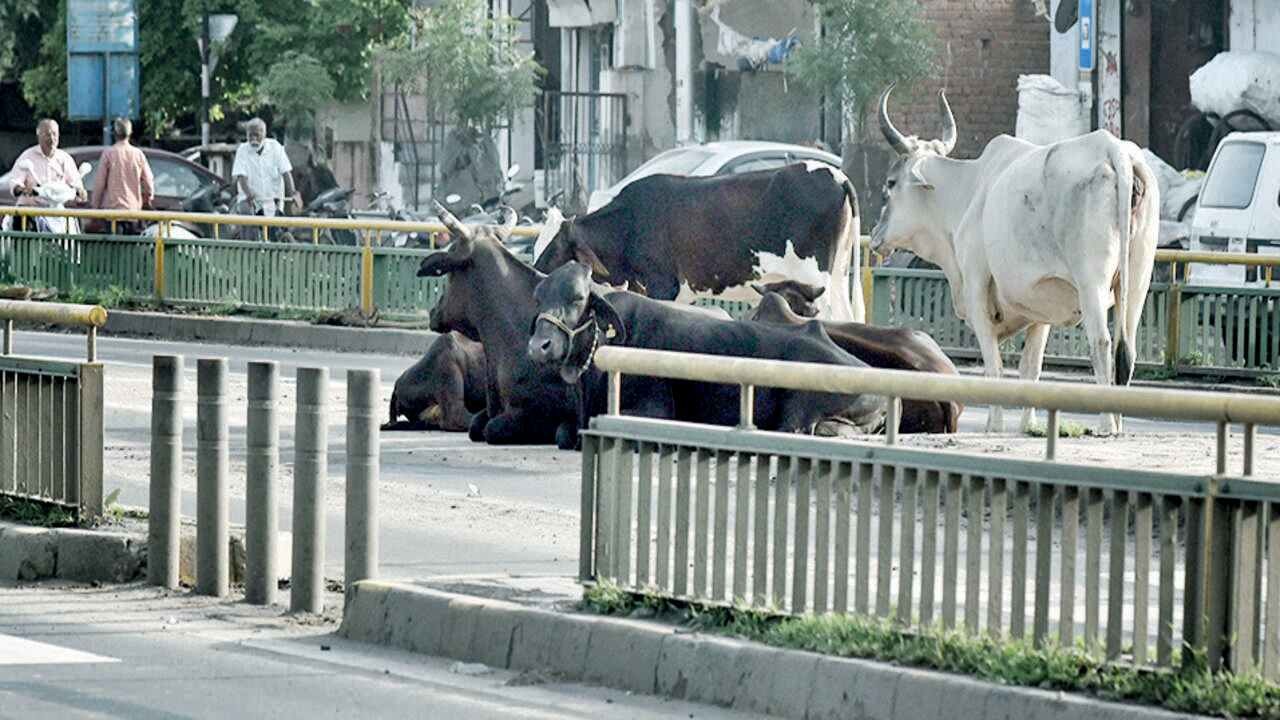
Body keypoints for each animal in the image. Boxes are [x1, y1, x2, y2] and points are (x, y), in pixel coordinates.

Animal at [526, 261, 886, 450]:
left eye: (577, 298)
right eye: (538, 297)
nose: (539, 346)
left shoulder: (656, 408)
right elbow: (562, 433)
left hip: (799, 410)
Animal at [531, 162, 865, 322]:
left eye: (556, 248)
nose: (536, 276)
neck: (631, 221)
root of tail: (835, 174)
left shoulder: (663, 284)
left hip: (815, 280)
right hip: (837, 278)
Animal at [871, 86, 1158, 435]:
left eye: (890, 184)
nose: (876, 236)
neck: (969, 191)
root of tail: (1112, 149)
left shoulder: (977, 289)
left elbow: (994, 366)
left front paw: (994, 424)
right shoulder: (1041, 306)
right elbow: (1030, 368)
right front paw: (1027, 424)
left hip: (1092, 282)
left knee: (1101, 342)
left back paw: (1106, 423)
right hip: (1138, 280)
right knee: (1126, 349)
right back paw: (1118, 419)